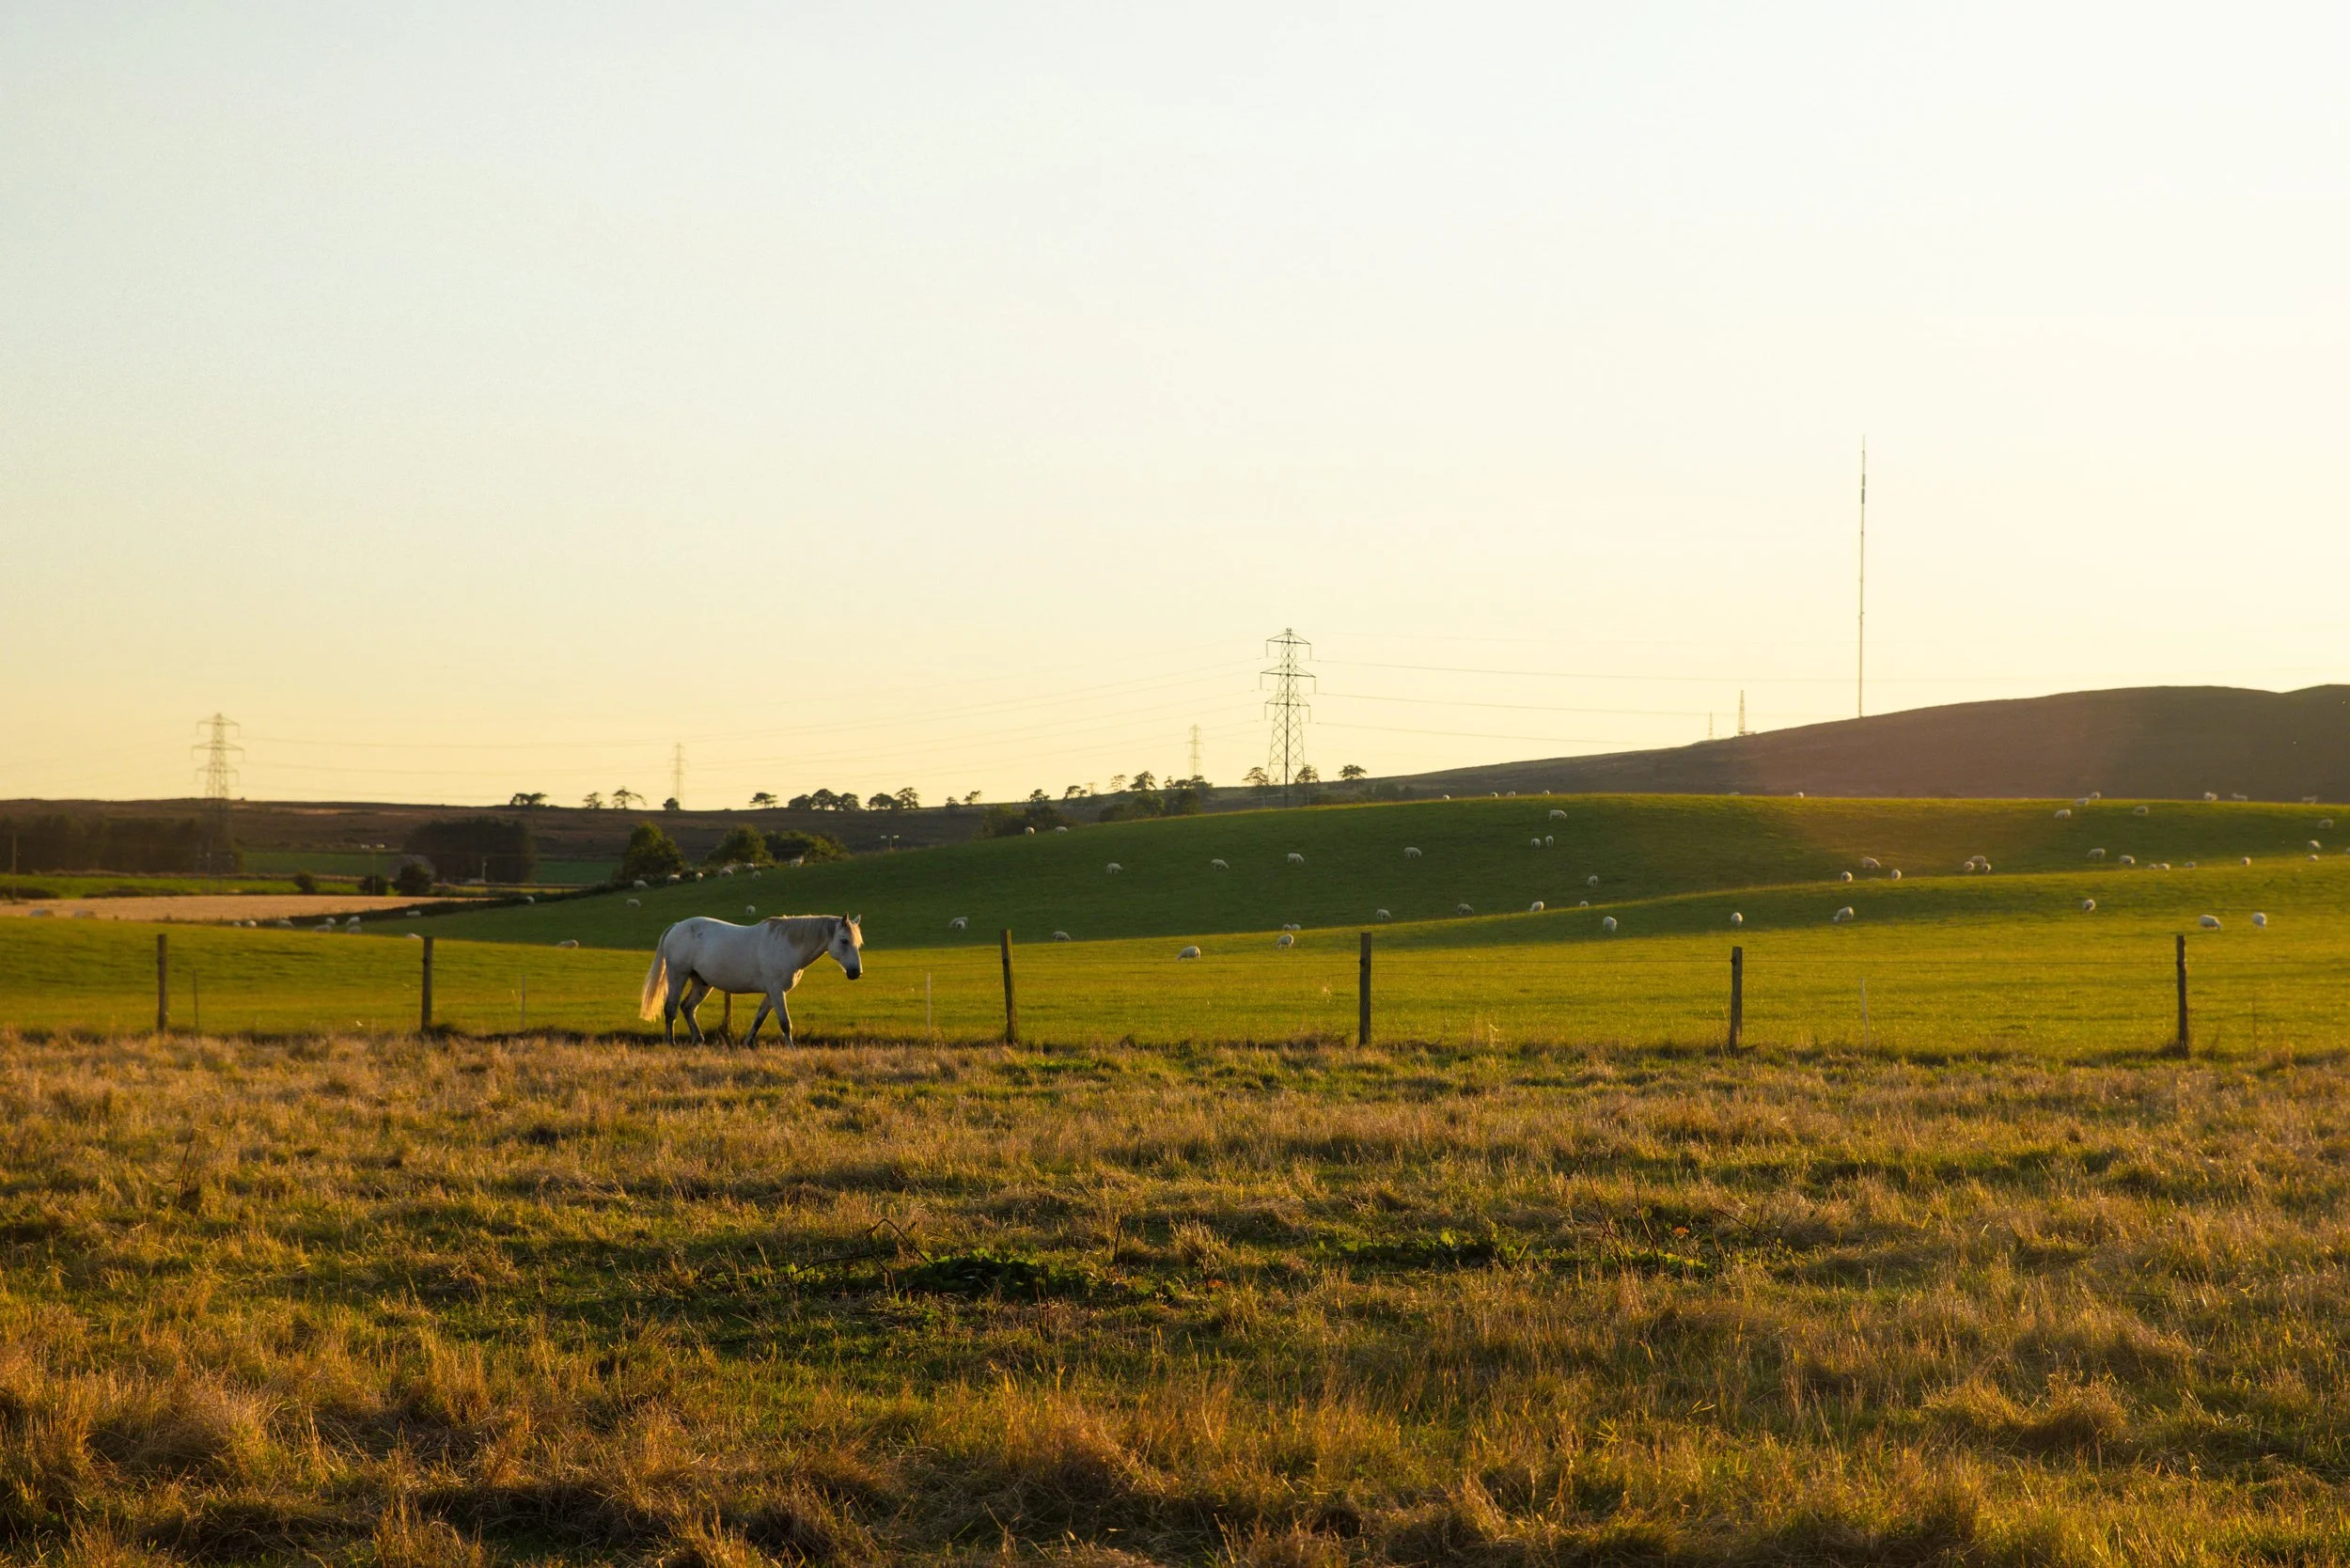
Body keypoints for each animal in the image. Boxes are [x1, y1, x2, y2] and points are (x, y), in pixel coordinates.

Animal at [638, 914, 862, 1045]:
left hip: (702, 982)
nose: (855, 972)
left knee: (688, 1007)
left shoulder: (772, 993)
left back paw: (698, 1040)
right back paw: (671, 1043)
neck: (787, 945)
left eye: (858, 943)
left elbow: (759, 1018)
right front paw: (791, 1048)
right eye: (844, 940)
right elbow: (785, 1023)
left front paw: (748, 1043)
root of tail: (677, 926)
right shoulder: (777, 991)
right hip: (678, 975)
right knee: (671, 1008)